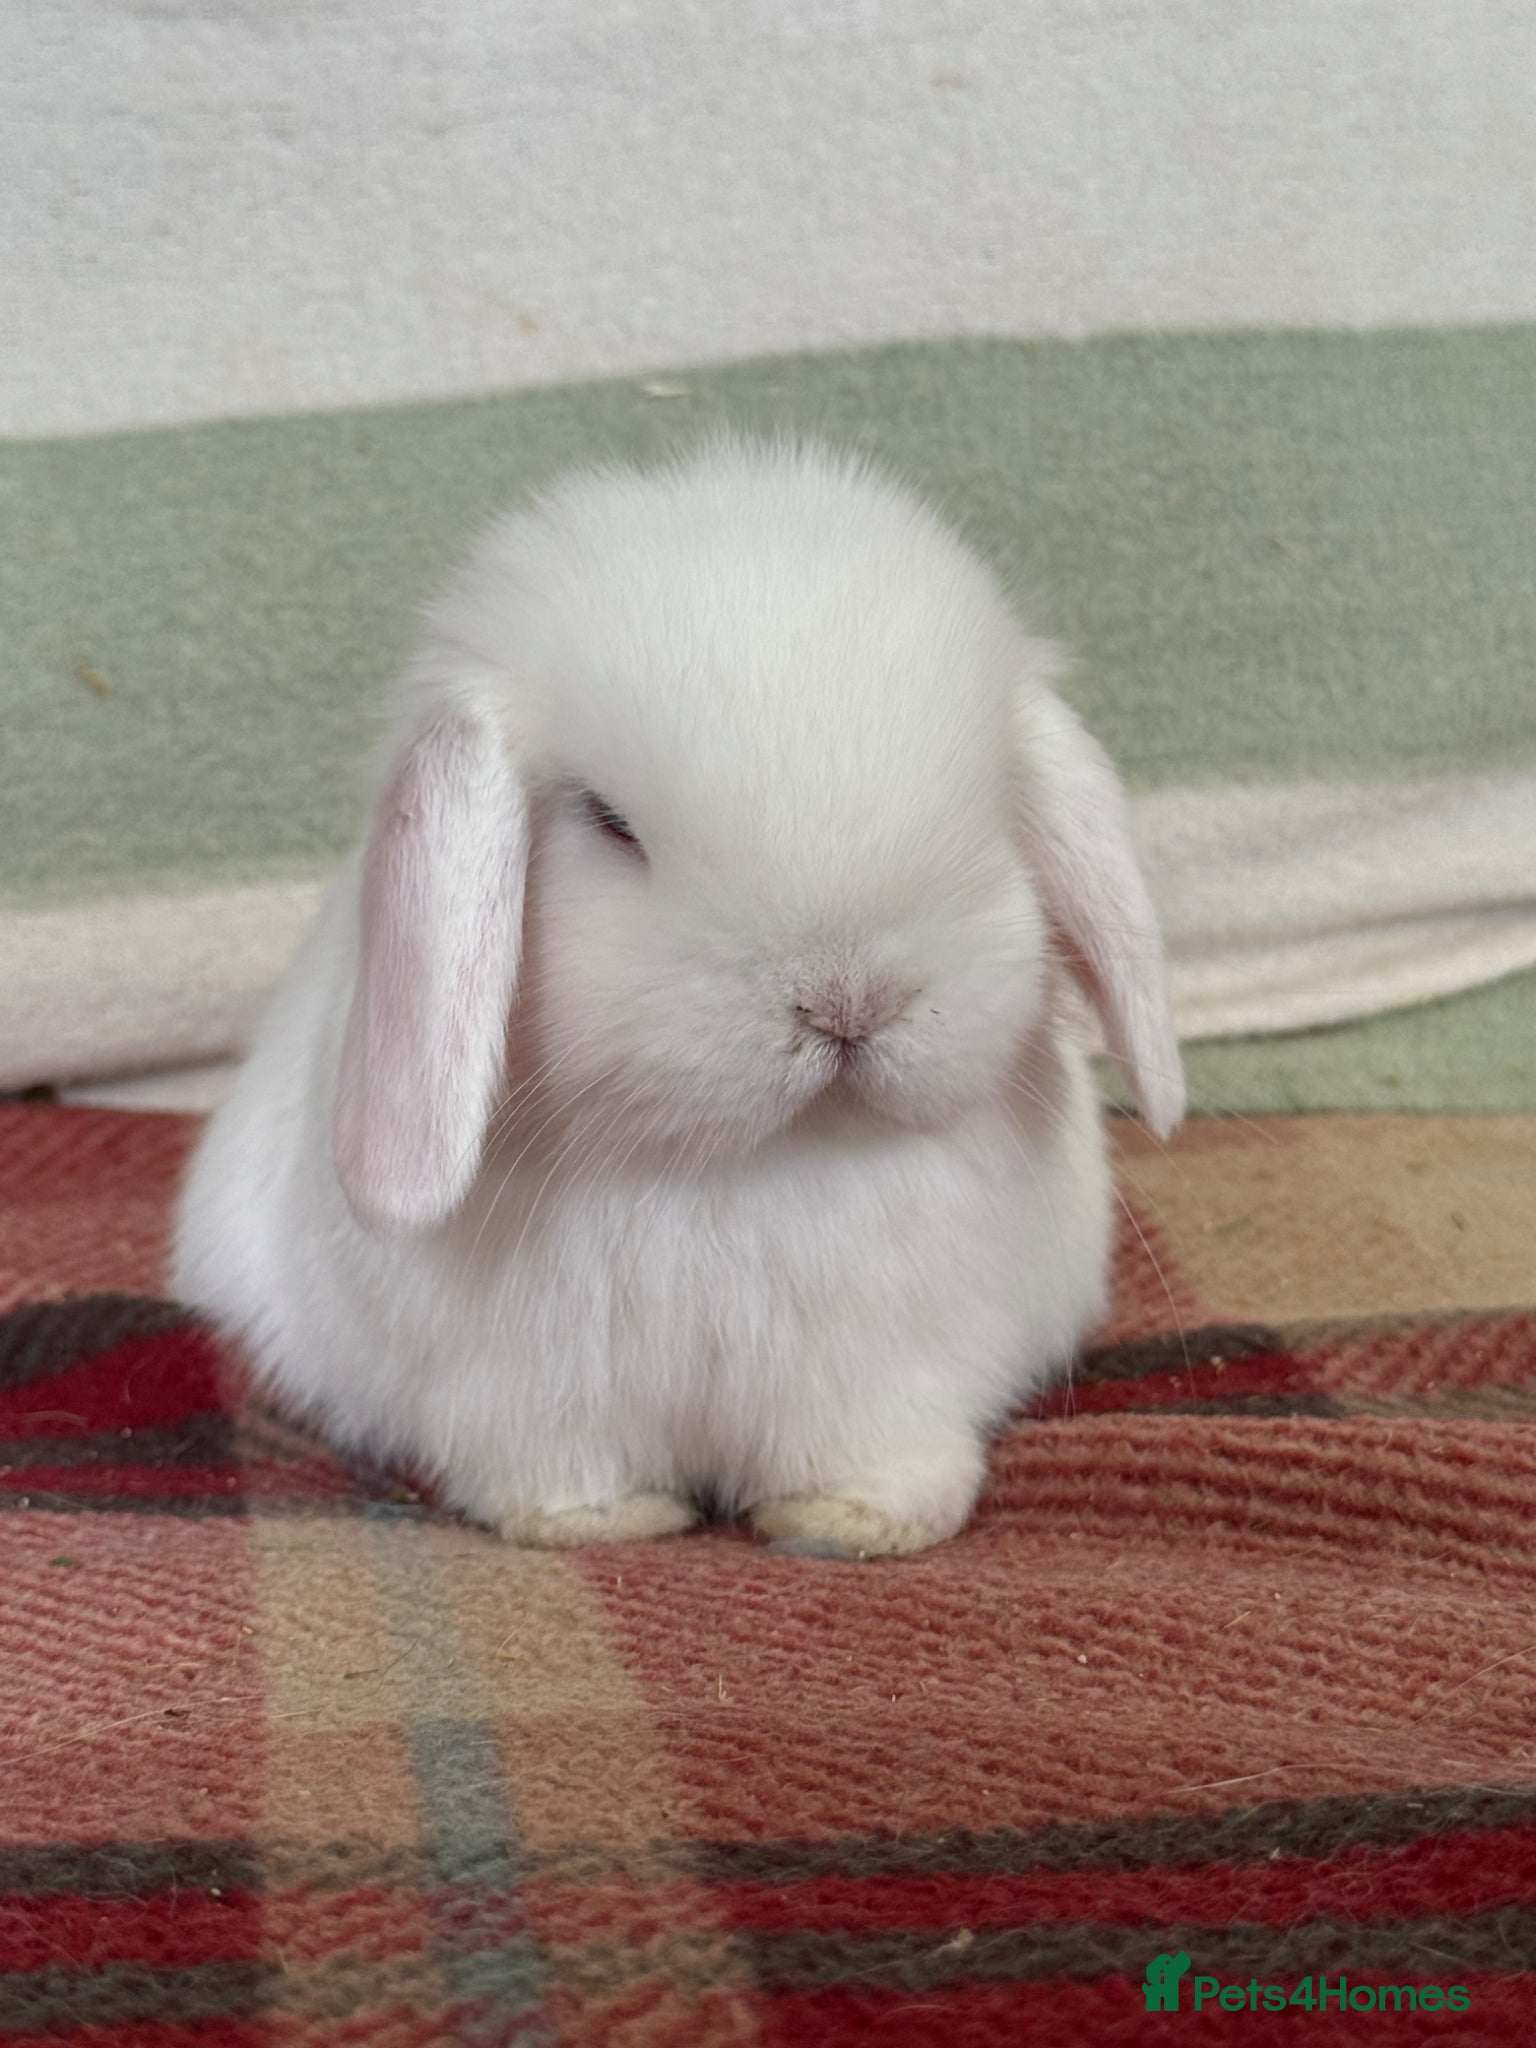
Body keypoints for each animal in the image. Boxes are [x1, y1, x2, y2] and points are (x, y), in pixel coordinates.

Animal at [172, 437, 1182, 1558]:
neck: (741, 1167)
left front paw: (855, 1523)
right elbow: (554, 1468)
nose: (848, 1001)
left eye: (988, 806)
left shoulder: (886, 1377)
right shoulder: (524, 1398)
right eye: (609, 822)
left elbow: (872, 1448)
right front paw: (599, 1523)